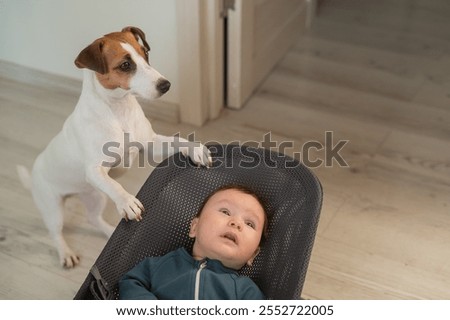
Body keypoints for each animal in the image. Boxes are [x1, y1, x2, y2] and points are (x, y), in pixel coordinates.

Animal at [18, 26, 212, 268]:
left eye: (145, 54)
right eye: (126, 65)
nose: (166, 85)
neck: (119, 109)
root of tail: (34, 172)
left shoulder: (151, 145)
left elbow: (177, 142)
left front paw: (195, 149)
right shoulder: (95, 170)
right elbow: (116, 186)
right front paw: (127, 201)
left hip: (95, 196)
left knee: (93, 218)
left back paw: (110, 231)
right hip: (53, 208)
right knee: (55, 232)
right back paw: (65, 253)